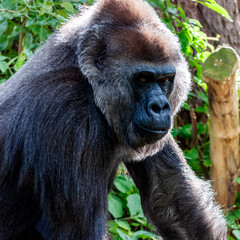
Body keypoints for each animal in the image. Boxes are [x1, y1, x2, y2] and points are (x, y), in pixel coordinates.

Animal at [0, 0, 227, 240]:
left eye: (165, 80)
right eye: (142, 79)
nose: (160, 107)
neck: (88, 80)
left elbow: (172, 199)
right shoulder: (69, 115)